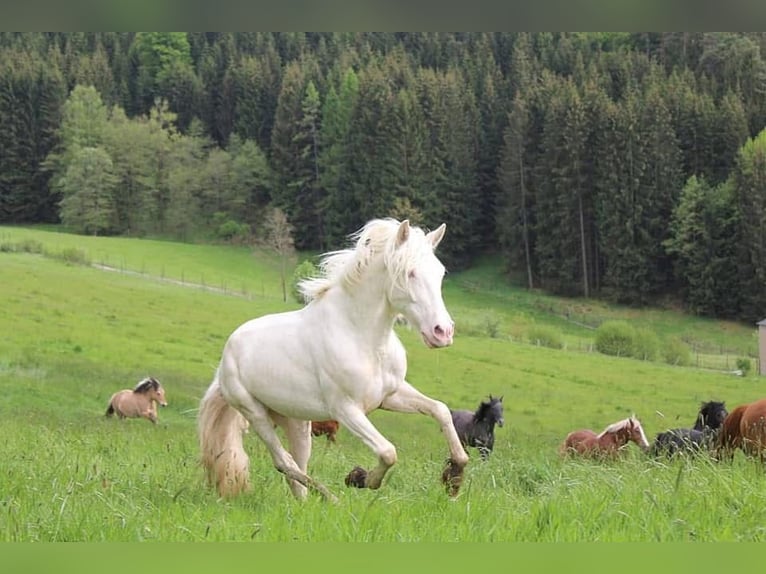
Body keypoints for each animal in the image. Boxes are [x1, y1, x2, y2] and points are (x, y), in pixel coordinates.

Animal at [196, 220, 468, 504]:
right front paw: (359, 478)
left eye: (440, 273)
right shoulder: (346, 410)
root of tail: (224, 362)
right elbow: (388, 452)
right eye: (410, 273)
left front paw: (455, 477)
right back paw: (332, 499)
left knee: (297, 468)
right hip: (255, 413)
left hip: (296, 421)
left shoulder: (390, 396)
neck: (362, 337)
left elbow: (440, 410)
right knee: (285, 463)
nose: (443, 332)